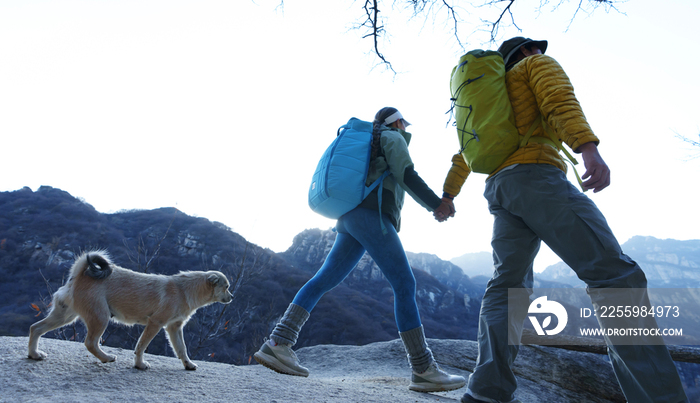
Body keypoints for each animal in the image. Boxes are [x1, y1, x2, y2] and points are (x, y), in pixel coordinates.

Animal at [26, 251, 232, 370]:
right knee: (90, 342)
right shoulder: (155, 324)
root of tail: (80, 274)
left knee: (35, 328)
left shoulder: (174, 328)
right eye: (227, 287)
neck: (184, 289)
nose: (232, 297)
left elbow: (182, 349)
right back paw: (106, 357)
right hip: (100, 317)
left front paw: (188, 364)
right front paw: (139, 365)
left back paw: (34, 354)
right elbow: (141, 346)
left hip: (64, 316)